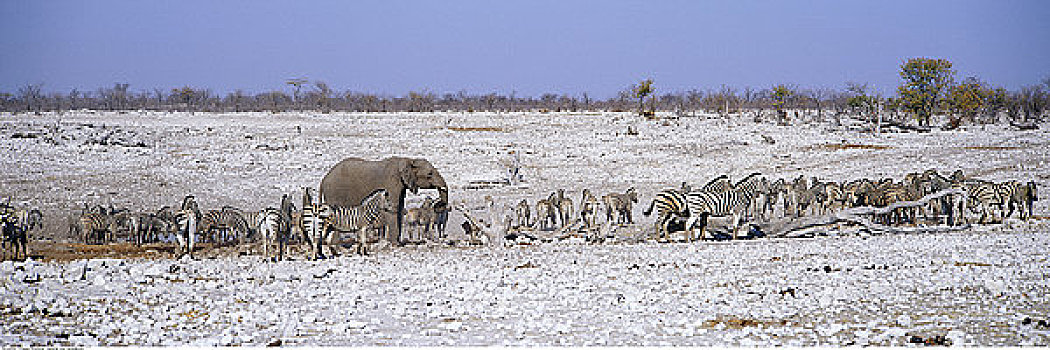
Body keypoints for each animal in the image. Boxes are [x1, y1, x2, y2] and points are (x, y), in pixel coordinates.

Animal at [319, 156, 451, 243]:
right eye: (429, 174)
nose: (440, 204)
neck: (408, 160)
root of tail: (324, 179)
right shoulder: (392, 182)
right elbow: (393, 207)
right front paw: (394, 244)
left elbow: (399, 207)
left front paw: (399, 242)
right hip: (334, 192)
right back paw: (336, 244)